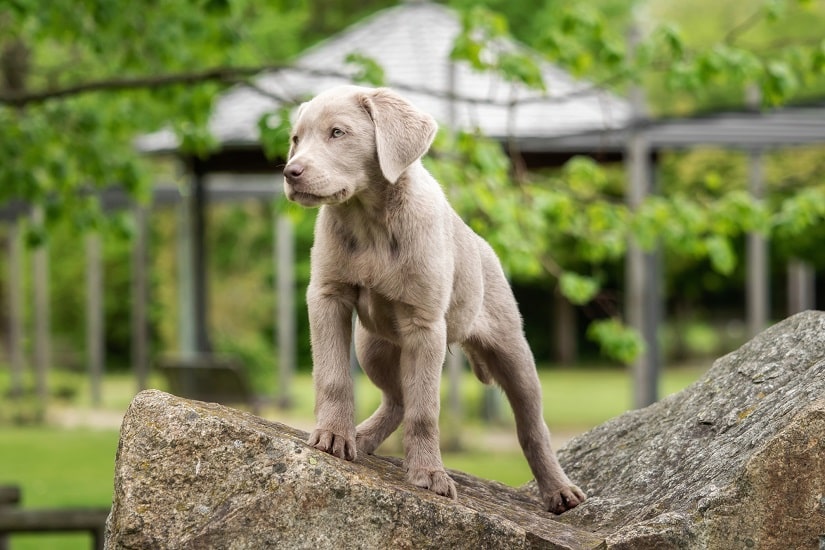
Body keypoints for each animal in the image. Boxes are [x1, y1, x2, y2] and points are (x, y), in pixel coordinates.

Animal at [284, 84, 584, 516]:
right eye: (295, 139)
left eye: (337, 133)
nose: (290, 173)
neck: (370, 221)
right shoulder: (328, 296)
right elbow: (333, 377)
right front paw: (333, 437)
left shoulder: (424, 325)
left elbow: (425, 409)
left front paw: (428, 475)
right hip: (372, 347)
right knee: (396, 399)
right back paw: (363, 437)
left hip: (513, 351)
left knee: (531, 425)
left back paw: (559, 491)